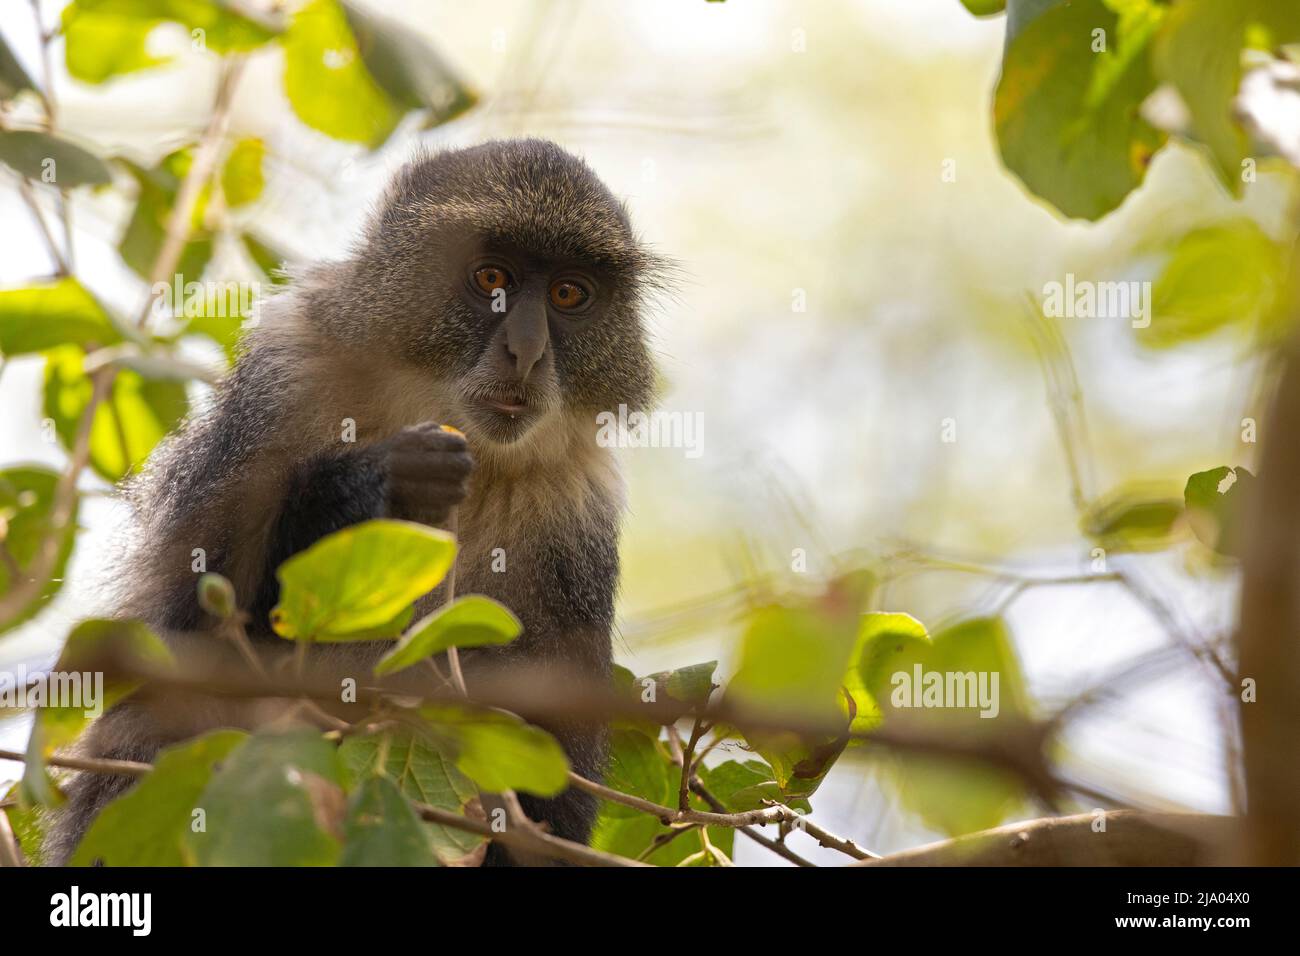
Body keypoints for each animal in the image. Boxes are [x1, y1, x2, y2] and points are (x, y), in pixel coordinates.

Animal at [42, 139, 664, 865]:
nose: (528, 351)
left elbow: (556, 776)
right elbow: (183, 647)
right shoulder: (283, 381)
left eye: (569, 293)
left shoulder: (578, 506)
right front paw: (376, 482)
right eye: (491, 278)